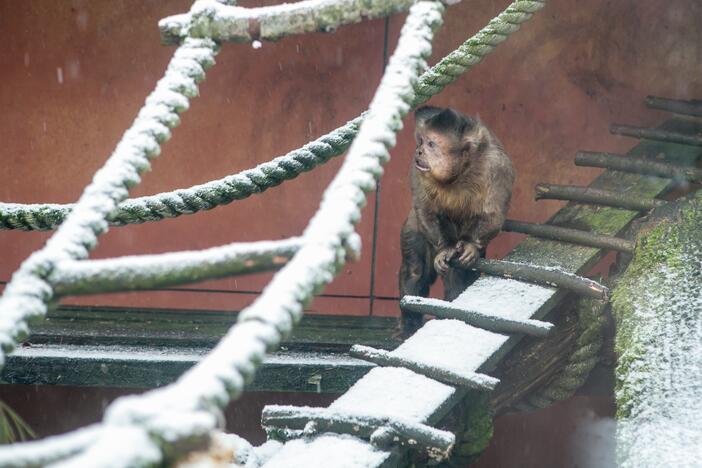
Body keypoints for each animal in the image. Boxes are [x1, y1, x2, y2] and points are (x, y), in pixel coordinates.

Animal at [402, 107, 516, 332]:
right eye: (422, 141)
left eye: (431, 144)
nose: (419, 151)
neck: (459, 173)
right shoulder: (418, 169)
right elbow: (425, 209)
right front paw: (444, 249)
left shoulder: (496, 166)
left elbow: (493, 214)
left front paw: (471, 244)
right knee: (415, 271)